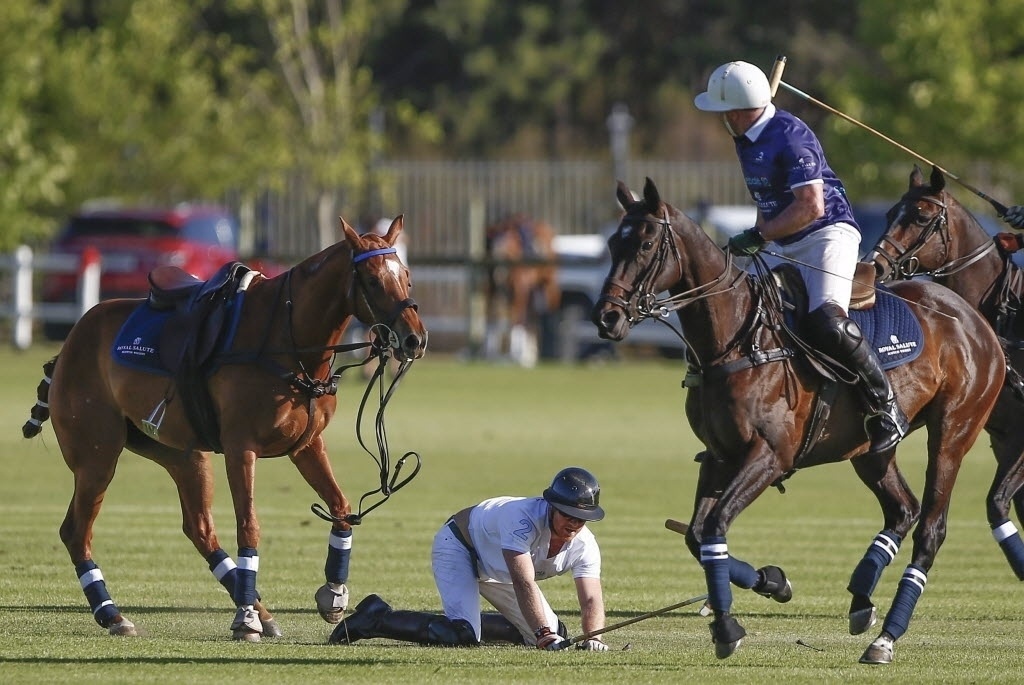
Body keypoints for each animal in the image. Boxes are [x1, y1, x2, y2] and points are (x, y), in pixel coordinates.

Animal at [20, 215, 428, 643]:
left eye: (407, 277)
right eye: (372, 280)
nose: (415, 339)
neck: (287, 339)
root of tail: (69, 342)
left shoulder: (306, 445)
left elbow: (341, 508)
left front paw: (334, 594)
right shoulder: (240, 448)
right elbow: (249, 526)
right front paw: (244, 619)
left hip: (183, 455)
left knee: (199, 529)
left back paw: (261, 612)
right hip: (97, 455)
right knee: (76, 531)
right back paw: (114, 614)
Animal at [485, 211, 565, 366]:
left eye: (507, 247)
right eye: (490, 245)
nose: (497, 272)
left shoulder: (519, 290)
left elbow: (516, 319)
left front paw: (515, 354)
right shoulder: (492, 291)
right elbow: (492, 318)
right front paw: (490, 354)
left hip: (548, 287)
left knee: (538, 314)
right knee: (531, 317)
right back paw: (529, 353)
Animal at [593, 176, 999, 663]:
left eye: (647, 243)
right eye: (612, 243)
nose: (606, 317)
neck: (737, 340)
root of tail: (976, 320)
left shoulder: (768, 456)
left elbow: (713, 526)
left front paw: (728, 627)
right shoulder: (720, 456)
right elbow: (696, 535)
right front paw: (775, 582)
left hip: (954, 432)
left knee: (931, 528)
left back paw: (885, 639)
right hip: (870, 451)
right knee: (903, 509)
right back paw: (861, 599)